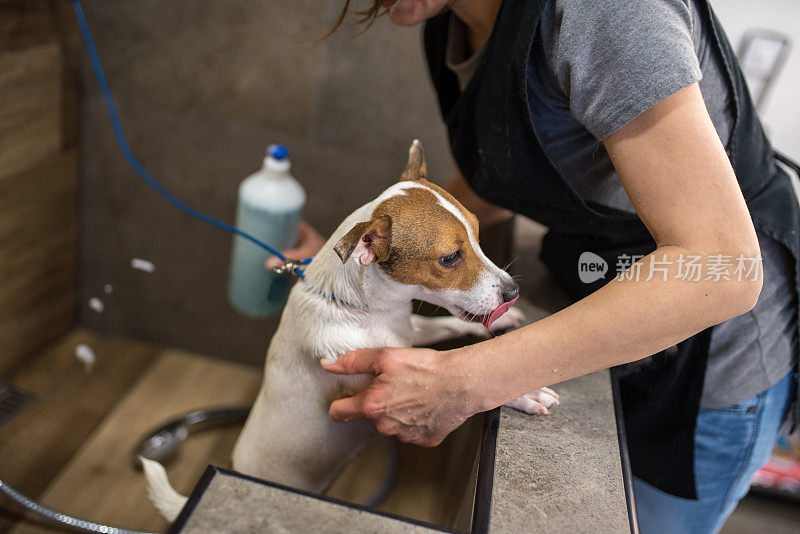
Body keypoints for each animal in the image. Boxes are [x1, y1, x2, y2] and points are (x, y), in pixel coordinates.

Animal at [142, 140, 556, 520]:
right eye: (450, 258)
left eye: (478, 235)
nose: (512, 292)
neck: (360, 311)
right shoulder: (381, 388)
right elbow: (449, 390)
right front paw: (525, 393)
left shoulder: (408, 333)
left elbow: (445, 331)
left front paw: (499, 323)